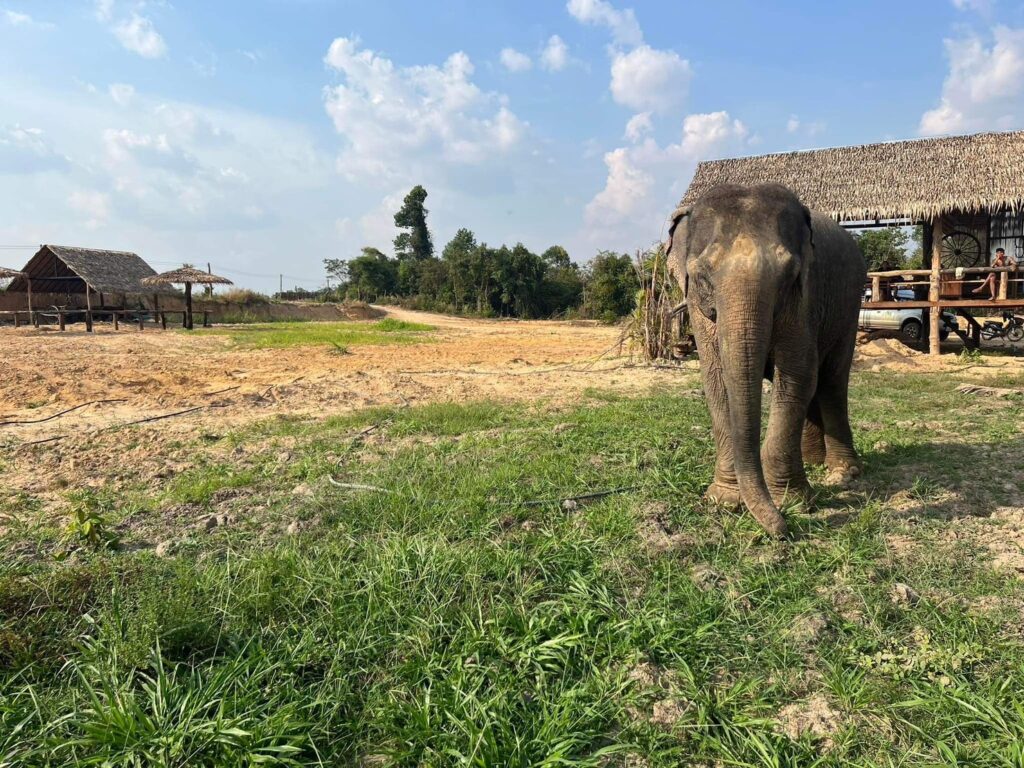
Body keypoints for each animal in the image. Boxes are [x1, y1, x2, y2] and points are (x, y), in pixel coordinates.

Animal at [665, 183, 867, 537]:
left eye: (790, 274)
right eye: (702, 275)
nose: (783, 531)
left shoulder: (805, 300)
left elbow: (798, 374)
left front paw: (792, 502)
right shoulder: (697, 310)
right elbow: (715, 380)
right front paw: (725, 501)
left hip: (849, 308)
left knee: (831, 379)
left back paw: (843, 473)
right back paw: (813, 461)